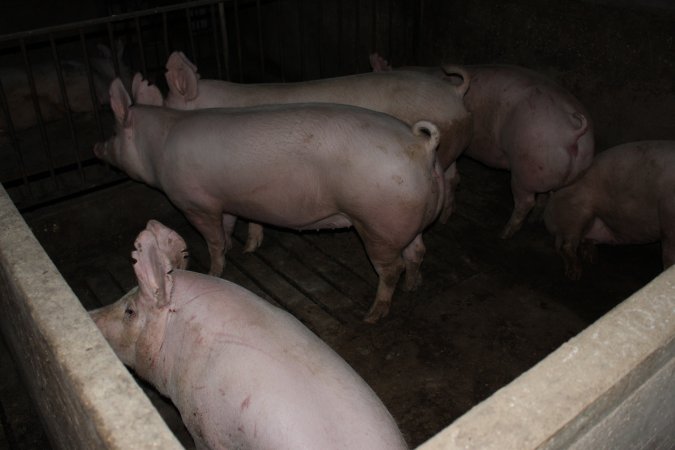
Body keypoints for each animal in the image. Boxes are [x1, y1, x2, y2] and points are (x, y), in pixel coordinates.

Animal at [93, 78, 444, 324]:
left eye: (114, 133)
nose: (97, 147)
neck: (156, 148)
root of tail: (421, 145)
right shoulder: (228, 199)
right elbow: (234, 224)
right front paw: (248, 248)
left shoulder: (195, 203)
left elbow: (214, 240)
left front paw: (215, 271)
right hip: (407, 218)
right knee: (417, 251)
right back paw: (414, 286)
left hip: (377, 221)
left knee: (392, 267)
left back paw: (372, 315)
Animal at [162, 51, 470, 253]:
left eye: (164, 105)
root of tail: (454, 92)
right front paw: (251, 247)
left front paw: (248, 248)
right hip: (449, 151)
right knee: (454, 179)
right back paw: (446, 218)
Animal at [370, 52, 596, 239]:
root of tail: (574, 130)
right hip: (554, 169)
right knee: (546, 195)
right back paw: (534, 221)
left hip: (527, 163)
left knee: (525, 201)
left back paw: (503, 234)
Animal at [544, 141, 675, 282]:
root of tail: (551, 200)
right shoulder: (668, 214)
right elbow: (669, 251)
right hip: (575, 213)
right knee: (566, 245)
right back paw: (575, 274)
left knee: (580, 242)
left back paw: (592, 258)